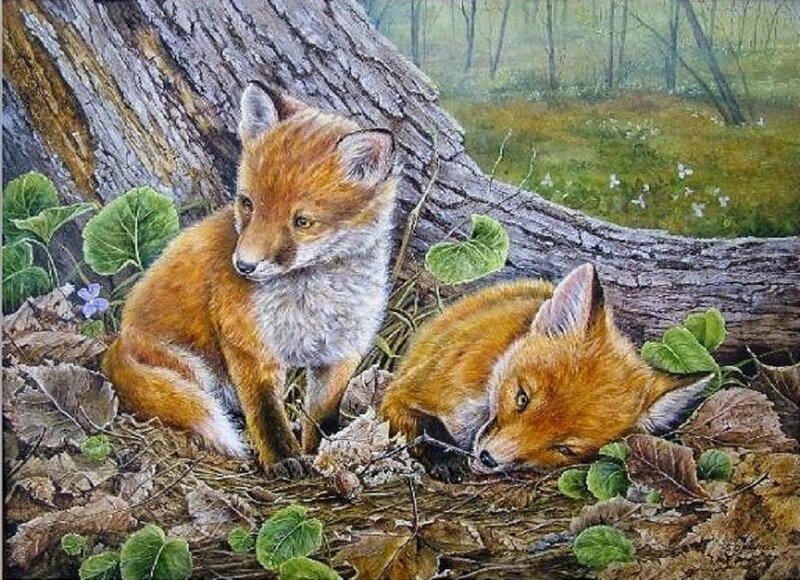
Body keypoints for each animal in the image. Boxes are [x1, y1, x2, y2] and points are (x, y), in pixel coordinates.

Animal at [104, 81, 398, 468]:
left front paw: (323, 453)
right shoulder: (249, 346)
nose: (243, 266)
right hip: (192, 369)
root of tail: (118, 341)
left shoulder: (341, 351)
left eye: (302, 222)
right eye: (248, 203)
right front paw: (283, 460)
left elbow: (321, 418)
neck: (313, 298)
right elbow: (266, 414)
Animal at [381, 263, 711, 479]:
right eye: (522, 398)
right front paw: (445, 458)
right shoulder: (403, 395)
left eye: (563, 448)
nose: (489, 459)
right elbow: (424, 424)